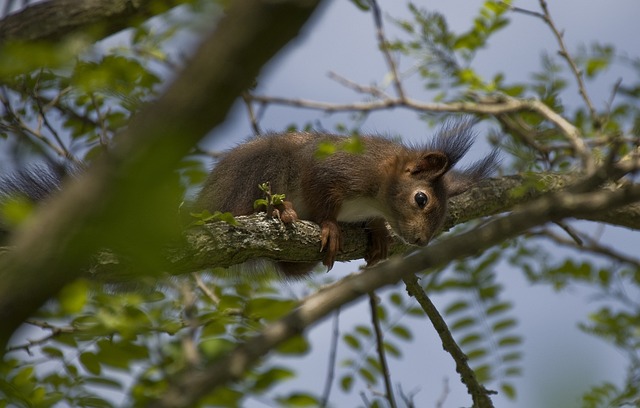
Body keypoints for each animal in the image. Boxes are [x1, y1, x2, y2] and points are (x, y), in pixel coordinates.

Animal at [196, 119, 500, 276]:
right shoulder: (333, 168)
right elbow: (320, 196)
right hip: (261, 168)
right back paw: (280, 210)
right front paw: (330, 225)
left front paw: (378, 231)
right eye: (421, 199)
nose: (421, 241)